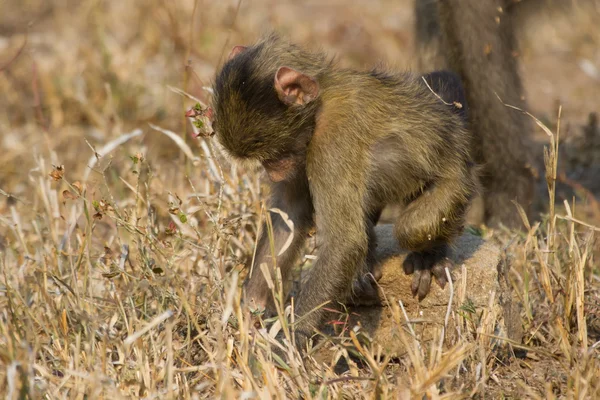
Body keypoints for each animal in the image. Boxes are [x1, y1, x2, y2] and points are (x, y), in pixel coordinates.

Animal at [211, 36, 478, 352]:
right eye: (267, 159)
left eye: (274, 154)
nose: (274, 173)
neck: (321, 100)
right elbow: (290, 214)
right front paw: (251, 312)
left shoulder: (332, 138)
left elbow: (343, 244)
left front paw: (289, 346)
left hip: (458, 182)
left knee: (410, 226)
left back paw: (430, 255)